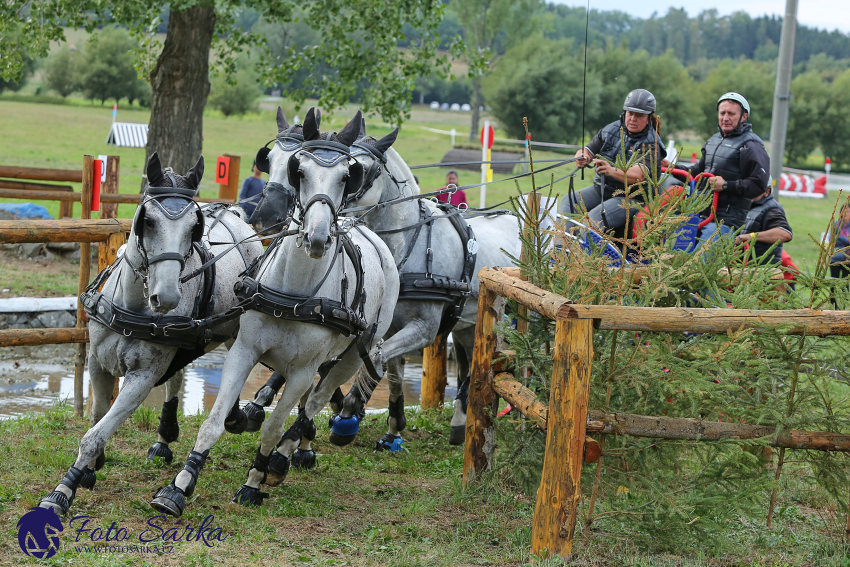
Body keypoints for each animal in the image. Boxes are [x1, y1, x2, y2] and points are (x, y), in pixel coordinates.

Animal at [39, 153, 262, 516]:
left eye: (193, 226)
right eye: (149, 221)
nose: (168, 297)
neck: (132, 305)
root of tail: (236, 217)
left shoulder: (141, 378)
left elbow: (95, 434)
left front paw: (63, 490)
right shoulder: (97, 363)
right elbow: (97, 417)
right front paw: (91, 469)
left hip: (234, 330)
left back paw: (232, 418)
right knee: (178, 377)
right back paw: (165, 438)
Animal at [151, 108, 400, 516]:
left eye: (346, 176)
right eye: (299, 169)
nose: (317, 237)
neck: (294, 293)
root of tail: (363, 229)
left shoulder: (302, 370)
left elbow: (274, 426)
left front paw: (254, 481)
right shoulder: (245, 350)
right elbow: (214, 421)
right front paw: (179, 487)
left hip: (353, 352)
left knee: (313, 402)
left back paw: (284, 456)